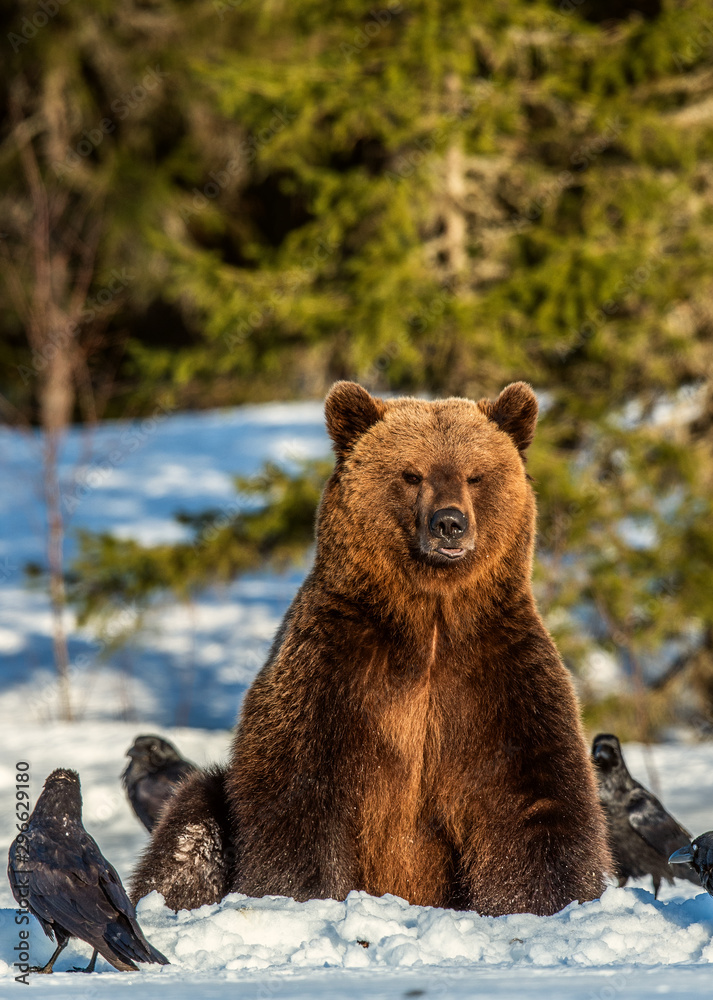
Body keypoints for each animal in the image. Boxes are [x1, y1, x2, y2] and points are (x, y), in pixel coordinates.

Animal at [131, 380, 611, 917]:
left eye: (475, 475)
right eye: (411, 474)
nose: (449, 523)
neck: (431, 621)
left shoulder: (497, 675)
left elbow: (537, 801)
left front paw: (548, 902)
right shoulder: (335, 671)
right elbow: (300, 795)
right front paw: (301, 896)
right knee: (192, 823)